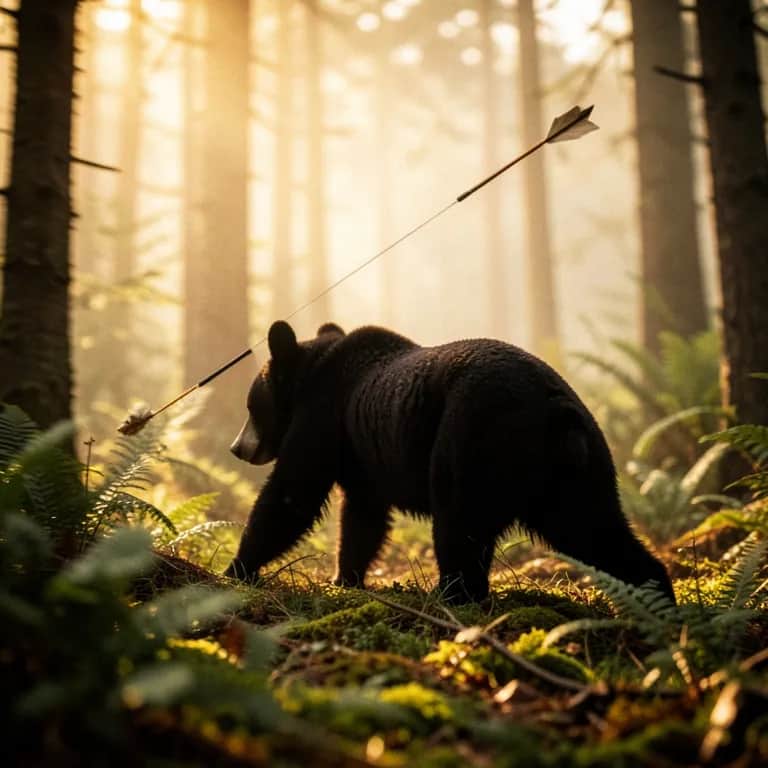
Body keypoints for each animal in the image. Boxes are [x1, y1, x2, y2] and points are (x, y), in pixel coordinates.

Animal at [224, 320, 674, 604]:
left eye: (250, 406)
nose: (236, 448)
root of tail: (555, 411)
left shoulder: (325, 418)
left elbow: (293, 494)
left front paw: (237, 568)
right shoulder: (363, 455)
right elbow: (363, 518)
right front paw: (346, 577)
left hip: (472, 439)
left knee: (459, 525)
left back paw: (451, 595)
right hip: (578, 470)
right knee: (595, 529)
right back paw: (659, 598)